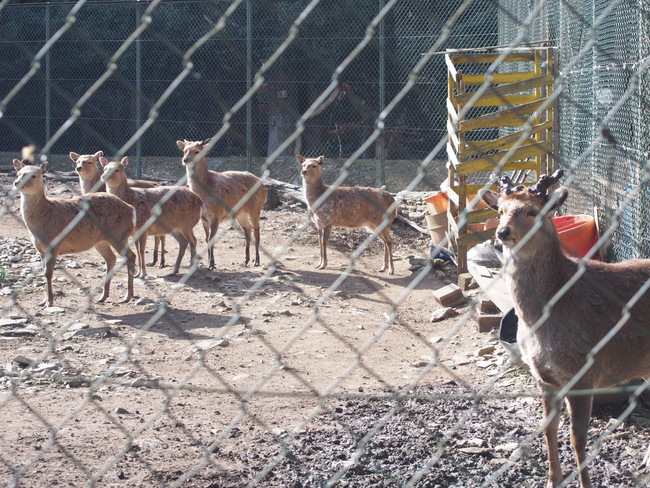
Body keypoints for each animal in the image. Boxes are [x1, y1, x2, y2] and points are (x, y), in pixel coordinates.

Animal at [12, 159, 135, 304]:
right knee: (111, 258)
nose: (16, 182)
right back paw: (103, 296)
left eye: (33, 175)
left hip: (118, 234)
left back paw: (127, 296)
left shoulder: (54, 244)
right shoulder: (40, 249)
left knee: (130, 256)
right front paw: (43, 300)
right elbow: (43, 271)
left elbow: (48, 273)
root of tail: (132, 210)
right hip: (101, 241)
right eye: (18, 174)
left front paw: (49, 302)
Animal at [175, 139, 266, 270]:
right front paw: (210, 262)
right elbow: (206, 239)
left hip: (256, 208)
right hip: (241, 213)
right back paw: (245, 260)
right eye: (184, 150)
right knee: (248, 229)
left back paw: (256, 261)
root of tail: (264, 188)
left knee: (257, 231)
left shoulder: (215, 215)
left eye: (197, 151)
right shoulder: (203, 218)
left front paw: (211, 264)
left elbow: (211, 239)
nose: (185, 159)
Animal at [478, 168, 648, 488]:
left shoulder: (582, 373)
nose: (501, 234)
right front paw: (552, 480)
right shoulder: (544, 379)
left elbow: (577, 438)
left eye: (533, 211)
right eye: (500, 210)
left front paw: (584, 483)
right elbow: (548, 429)